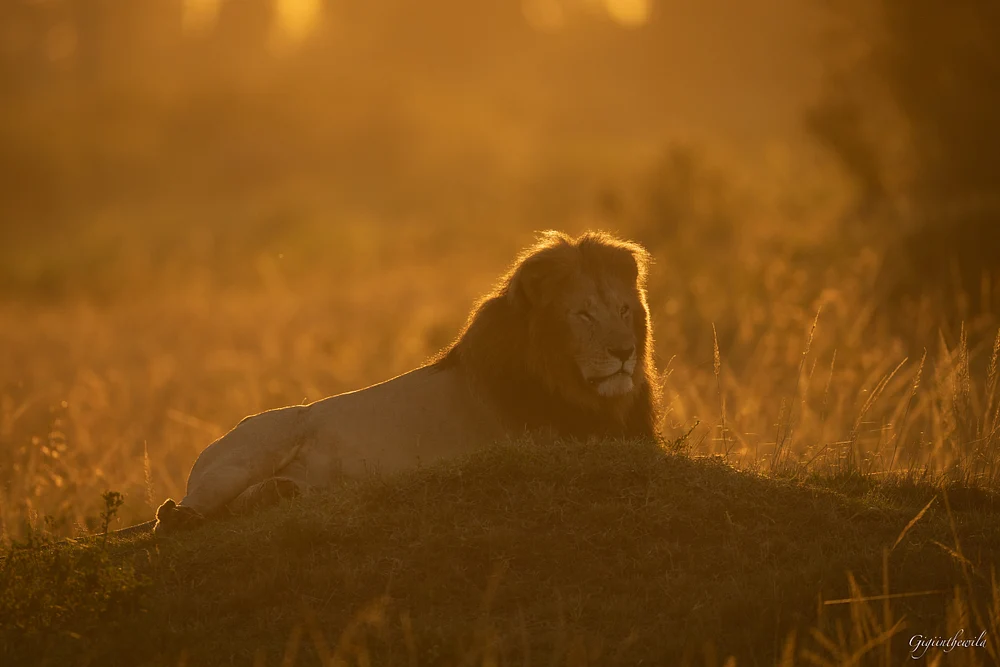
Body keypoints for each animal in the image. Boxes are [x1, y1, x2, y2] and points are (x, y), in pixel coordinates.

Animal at [151, 230, 659, 535]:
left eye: (624, 310)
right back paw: (177, 517)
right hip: (253, 448)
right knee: (173, 518)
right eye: (583, 314)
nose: (624, 353)